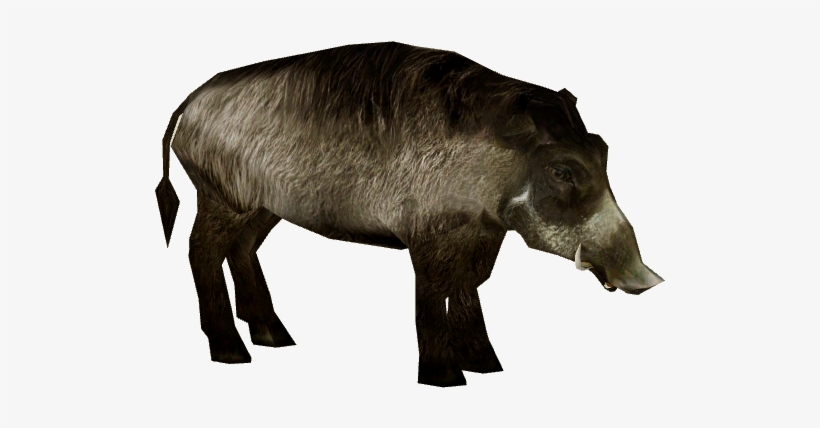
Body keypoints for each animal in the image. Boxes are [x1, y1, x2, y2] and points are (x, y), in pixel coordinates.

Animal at [155, 41, 664, 387]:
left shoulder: (481, 236)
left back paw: (275, 337)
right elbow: (435, 291)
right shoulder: (429, 235)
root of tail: (190, 102)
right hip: (221, 198)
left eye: (602, 150)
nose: (648, 279)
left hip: (261, 208)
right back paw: (232, 352)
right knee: (200, 251)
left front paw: (488, 368)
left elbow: (468, 288)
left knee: (241, 250)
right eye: (562, 169)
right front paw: (446, 379)